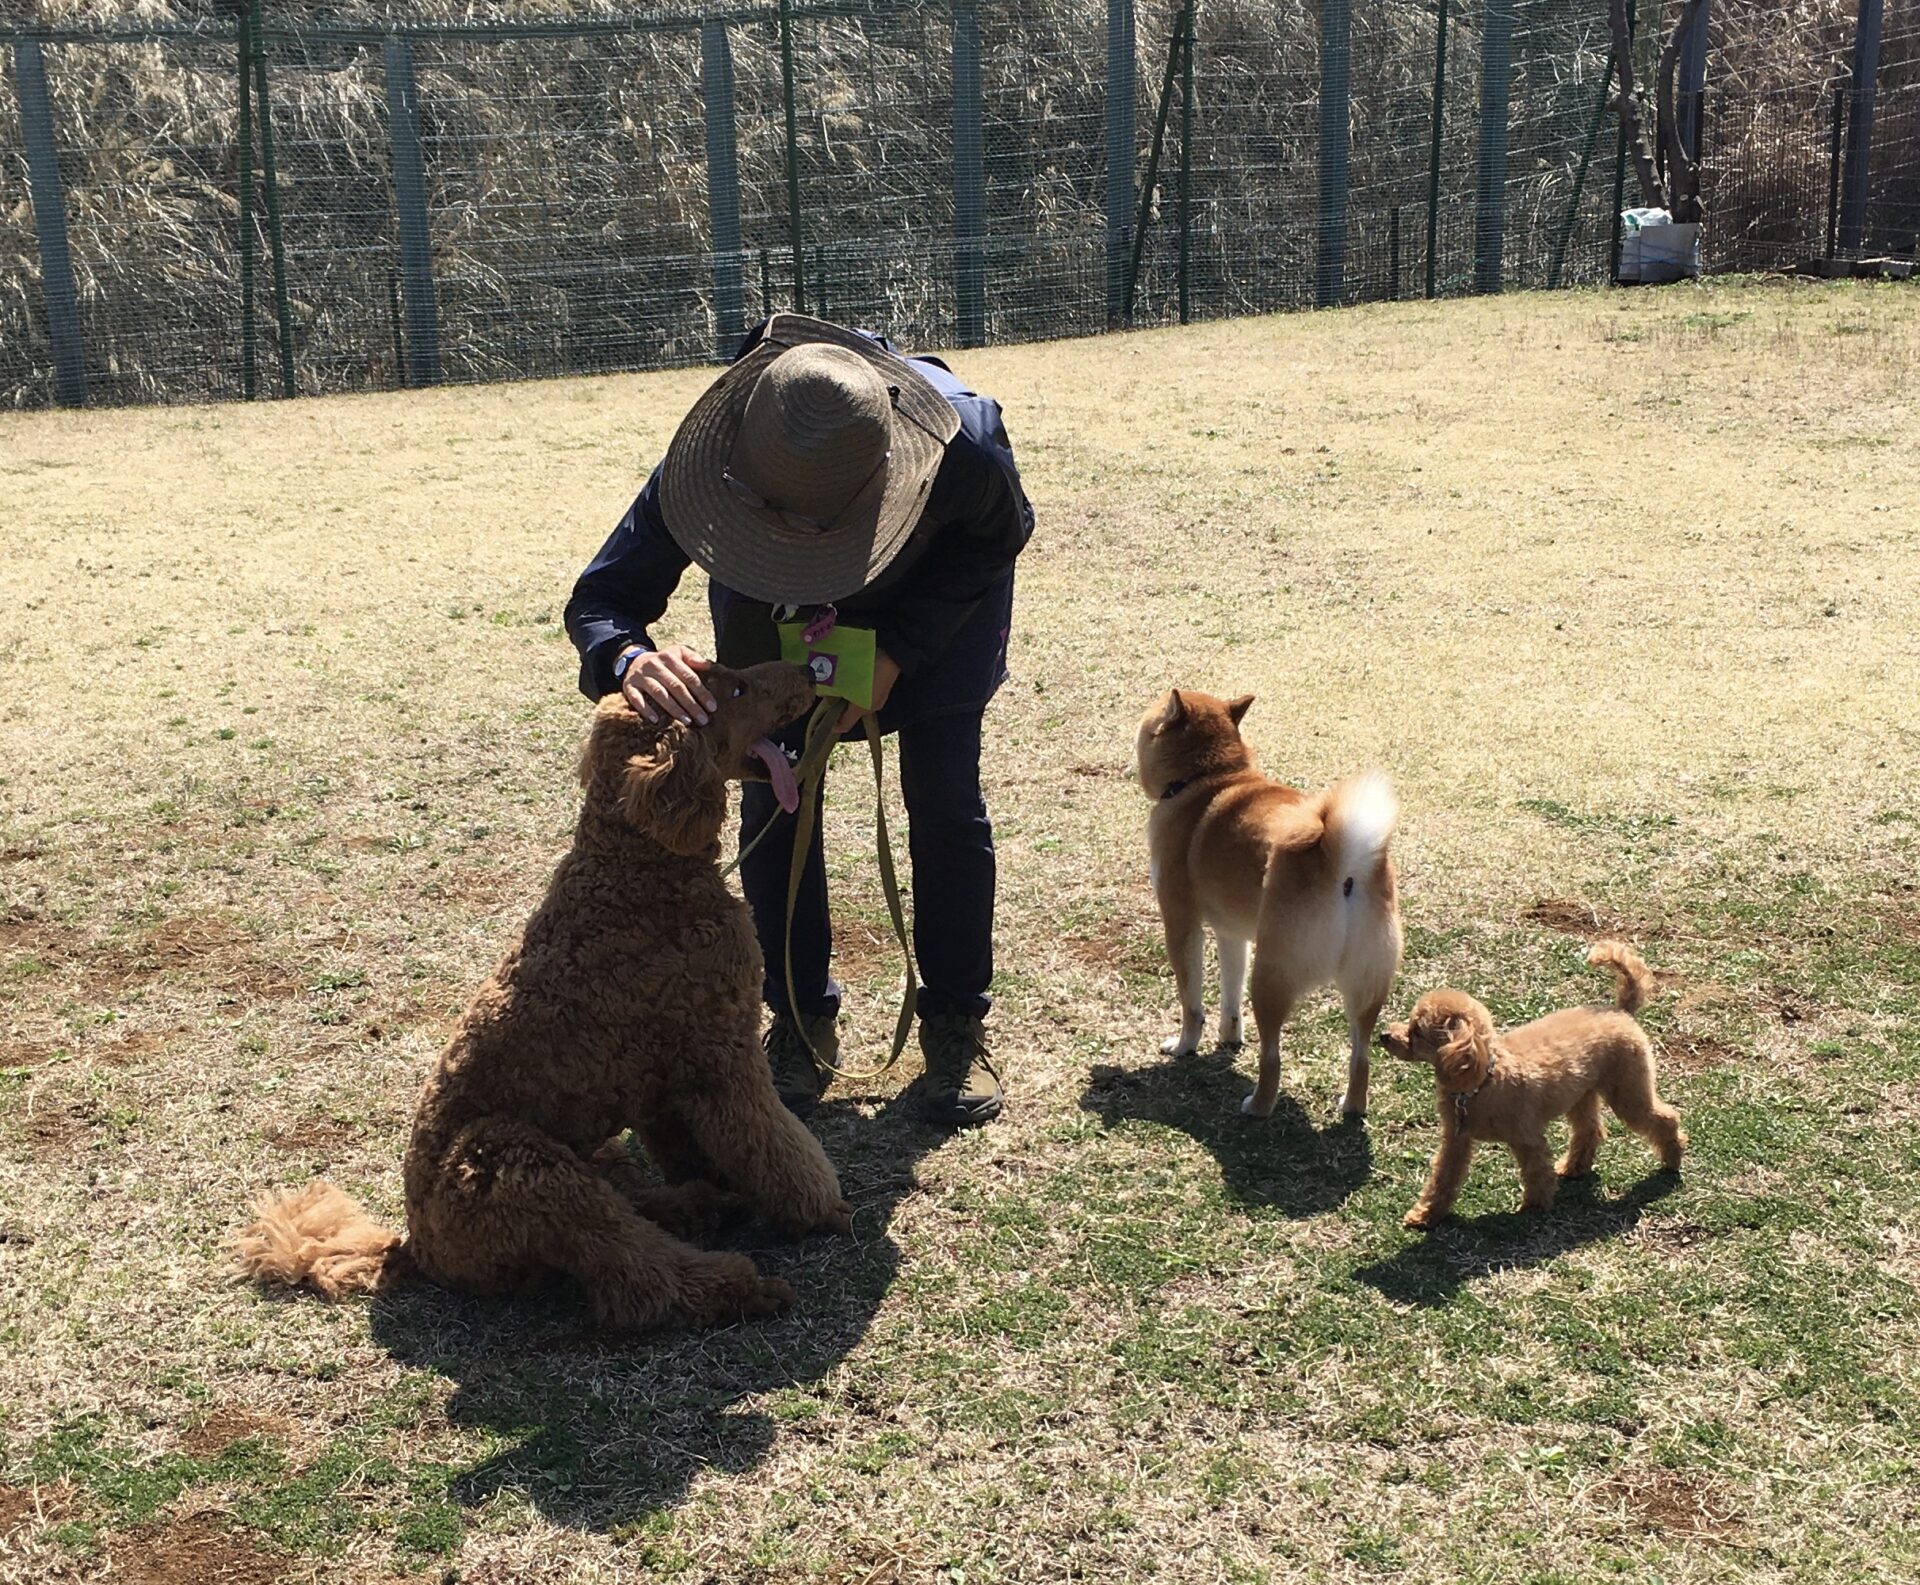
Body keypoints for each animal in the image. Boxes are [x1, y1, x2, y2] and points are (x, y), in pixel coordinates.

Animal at [235, 661, 855, 1331]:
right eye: (734, 687)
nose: (810, 668)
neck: (639, 868)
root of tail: (417, 1248)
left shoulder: (667, 1079)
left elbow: (707, 1146)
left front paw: (738, 1192)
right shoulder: (723, 1056)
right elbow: (775, 1145)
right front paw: (821, 1209)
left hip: (583, 1154)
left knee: (629, 1204)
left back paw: (699, 1206)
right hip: (522, 1166)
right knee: (633, 1273)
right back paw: (736, 1283)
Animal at [1135, 688, 1402, 1120]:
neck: (1209, 779)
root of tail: (1342, 868)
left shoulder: (1181, 923)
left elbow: (1192, 1003)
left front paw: (1184, 1046)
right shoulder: (1231, 933)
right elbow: (1230, 995)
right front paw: (1229, 1037)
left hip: (1271, 977)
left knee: (1272, 1057)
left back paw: (1258, 1104)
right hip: (1365, 988)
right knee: (1361, 1057)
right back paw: (1351, 1105)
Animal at [1379, 941, 1687, 1229]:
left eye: (1417, 1031)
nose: (1383, 1035)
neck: (1483, 1081)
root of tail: (1620, 1011)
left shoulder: (1527, 1138)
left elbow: (1536, 1172)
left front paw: (1534, 1207)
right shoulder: (1456, 1141)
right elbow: (1443, 1178)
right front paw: (1425, 1215)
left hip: (1628, 1091)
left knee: (1664, 1118)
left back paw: (1672, 1158)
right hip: (1581, 1095)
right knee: (1589, 1131)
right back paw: (1575, 1167)